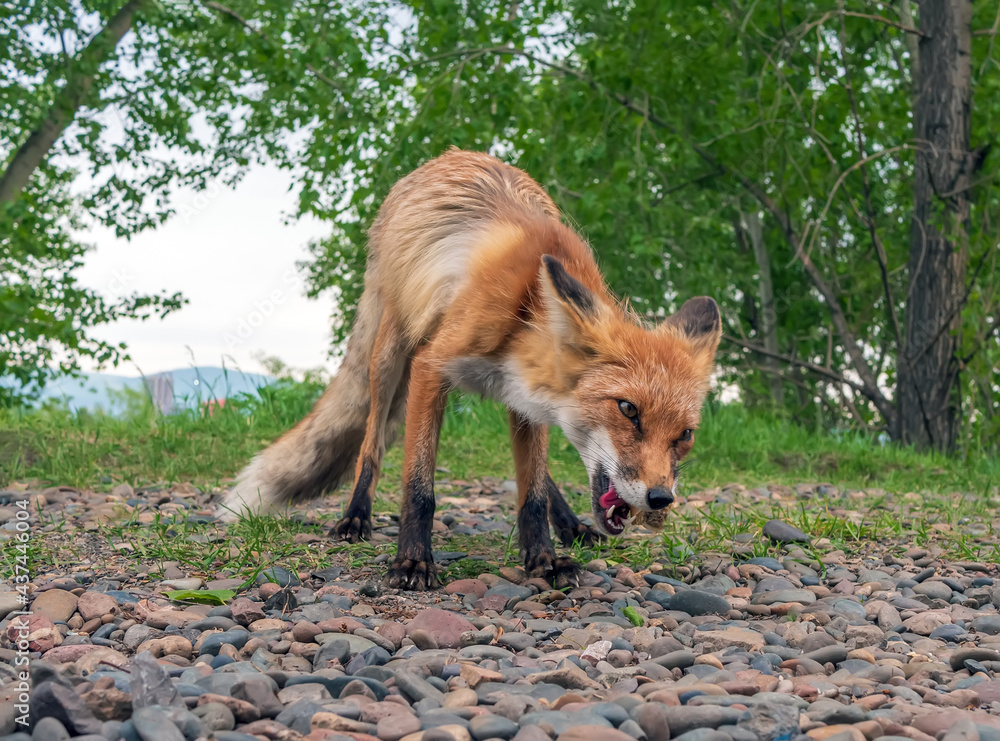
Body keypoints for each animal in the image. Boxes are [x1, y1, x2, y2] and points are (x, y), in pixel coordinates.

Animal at [219, 149, 720, 588]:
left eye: (685, 435)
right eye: (628, 410)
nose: (661, 498)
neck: (526, 310)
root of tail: (448, 156)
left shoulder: (528, 399)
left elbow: (532, 495)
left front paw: (543, 559)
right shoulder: (431, 368)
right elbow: (419, 489)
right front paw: (412, 561)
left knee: (539, 480)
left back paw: (569, 524)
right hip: (390, 355)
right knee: (370, 444)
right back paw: (355, 516)